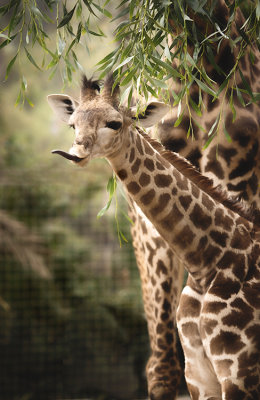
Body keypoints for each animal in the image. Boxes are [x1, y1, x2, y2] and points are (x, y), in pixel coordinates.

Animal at [48, 74, 260, 396]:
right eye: (73, 125)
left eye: (114, 123)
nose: (77, 153)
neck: (208, 261)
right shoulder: (199, 377)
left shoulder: (239, 373)